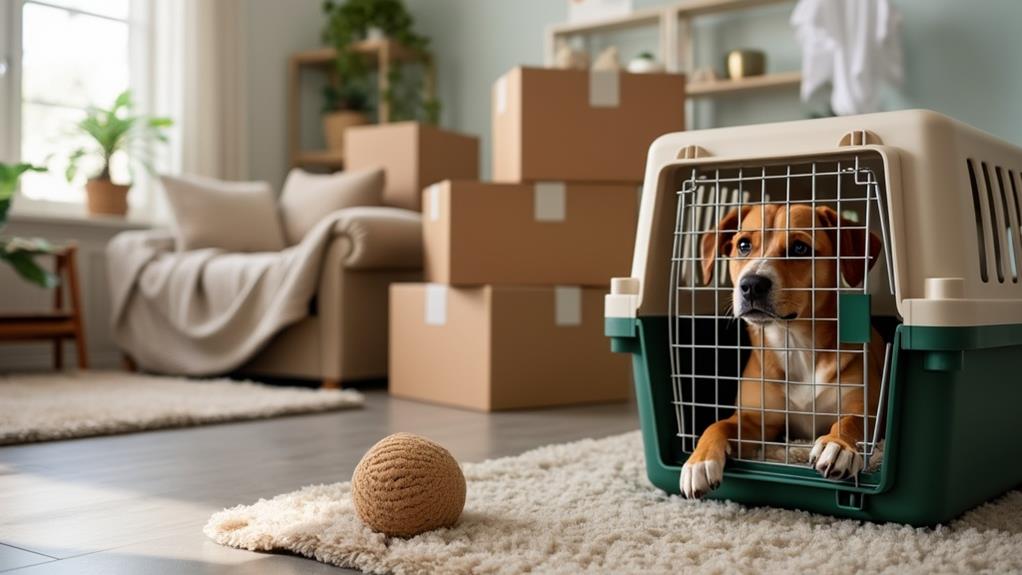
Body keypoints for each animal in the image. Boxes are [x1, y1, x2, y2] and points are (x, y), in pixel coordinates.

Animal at [682, 202, 891, 500]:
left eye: (800, 248)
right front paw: (699, 461)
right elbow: (719, 424)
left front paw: (838, 445)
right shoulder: (756, 420)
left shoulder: (866, 412)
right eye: (743, 245)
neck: (795, 344)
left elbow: (850, 421)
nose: (751, 284)